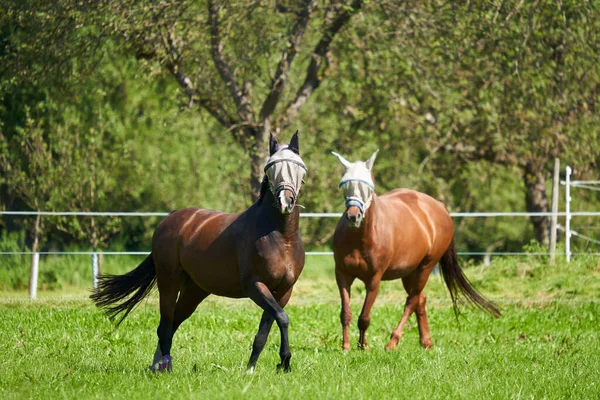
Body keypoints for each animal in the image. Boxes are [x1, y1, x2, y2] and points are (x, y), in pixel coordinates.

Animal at [94, 131, 310, 372]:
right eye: (271, 168)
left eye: (299, 167)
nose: (285, 201)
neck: (281, 237)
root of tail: (171, 218)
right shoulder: (255, 286)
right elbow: (282, 318)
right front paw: (284, 361)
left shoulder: (283, 291)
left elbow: (267, 329)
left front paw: (254, 368)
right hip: (168, 282)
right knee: (165, 326)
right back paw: (165, 369)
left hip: (195, 291)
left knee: (172, 323)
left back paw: (157, 366)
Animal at [330, 150, 500, 350]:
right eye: (344, 185)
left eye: (369, 187)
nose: (353, 216)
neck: (361, 238)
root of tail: (440, 207)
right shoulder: (343, 275)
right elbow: (346, 314)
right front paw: (347, 347)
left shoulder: (374, 279)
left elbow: (364, 317)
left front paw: (363, 346)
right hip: (409, 272)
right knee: (420, 298)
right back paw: (426, 342)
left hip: (425, 268)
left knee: (411, 301)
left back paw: (393, 342)